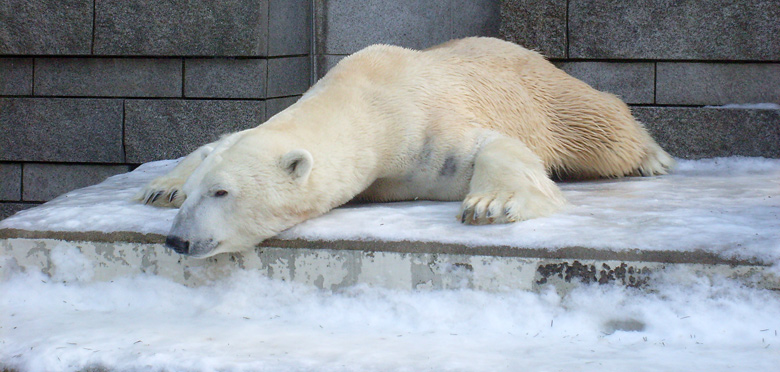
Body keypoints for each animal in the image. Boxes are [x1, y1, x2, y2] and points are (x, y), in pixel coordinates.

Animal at [134, 38, 672, 258]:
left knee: (598, 125)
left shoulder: (428, 125)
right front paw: (162, 186)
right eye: (200, 191)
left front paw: (490, 205)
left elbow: (492, 146)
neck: (364, 96)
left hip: (541, 91)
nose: (177, 242)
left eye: (223, 194)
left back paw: (652, 157)